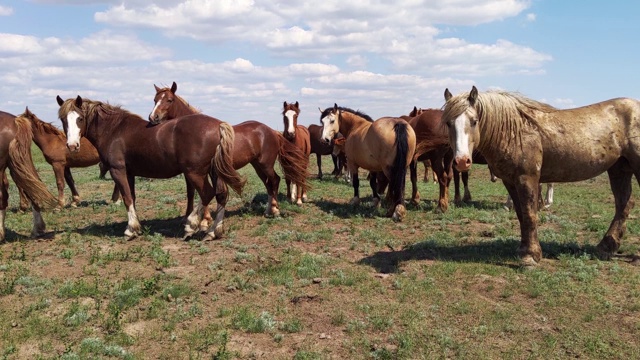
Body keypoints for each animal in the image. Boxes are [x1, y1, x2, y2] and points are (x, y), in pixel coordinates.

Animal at [57, 95, 248, 242]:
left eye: (80, 118)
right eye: (63, 119)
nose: (72, 146)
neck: (114, 130)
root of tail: (218, 125)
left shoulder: (117, 170)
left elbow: (127, 198)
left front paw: (130, 230)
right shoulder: (130, 173)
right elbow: (132, 198)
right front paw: (137, 226)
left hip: (195, 173)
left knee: (207, 193)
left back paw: (191, 225)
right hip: (213, 171)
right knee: (221, 195)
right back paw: (213, 232)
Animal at [150, 82, 310, 217]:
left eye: (169, 100)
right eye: (155, 99)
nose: (153, 117)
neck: (196, 129)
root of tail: (272, 131)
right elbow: (193, 193)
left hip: (266, 164)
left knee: (275, 180)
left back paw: (275, 210)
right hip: (257, 165)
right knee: (268, 184)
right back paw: (268, 210)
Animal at [442, 86, 640, 268]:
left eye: (474, 121)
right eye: (448, 123)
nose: (462, 161)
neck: (515, 131)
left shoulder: (527, 178)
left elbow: (530, 214)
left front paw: (530, 256)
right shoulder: (510, 181)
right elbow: (521, 215)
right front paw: (523, 250)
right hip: (618, 169)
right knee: (624, 204)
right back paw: (606, 247)